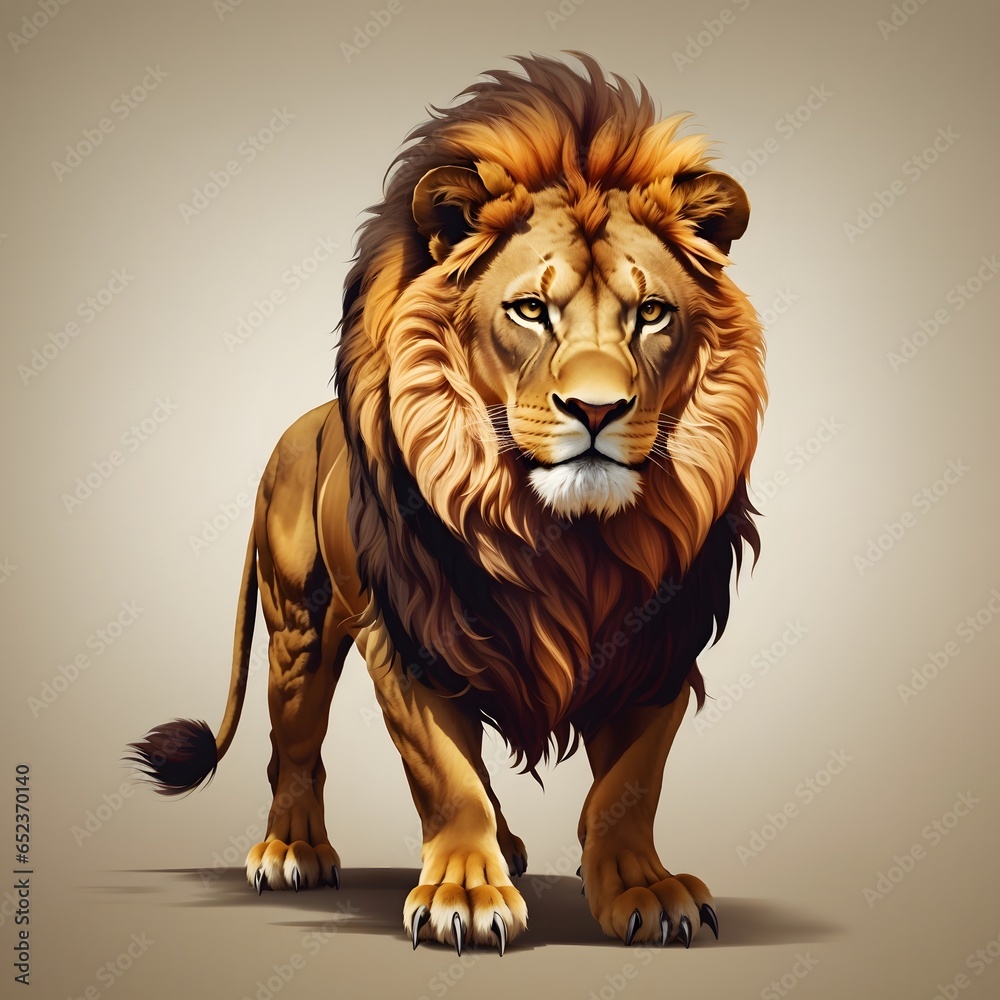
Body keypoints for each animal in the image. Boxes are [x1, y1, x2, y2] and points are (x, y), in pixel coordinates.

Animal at [127, 53, 765, 954]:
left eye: (650, 314)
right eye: (531, 310)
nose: (598, 409)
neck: (565, 538)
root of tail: (299, 425)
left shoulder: (665, 643)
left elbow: (628, 784)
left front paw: (644, 888)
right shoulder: (408, 637)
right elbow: (445, 775)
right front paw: (464, 895)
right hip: (297, 628)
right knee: (294, 748)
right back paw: (293, 850)